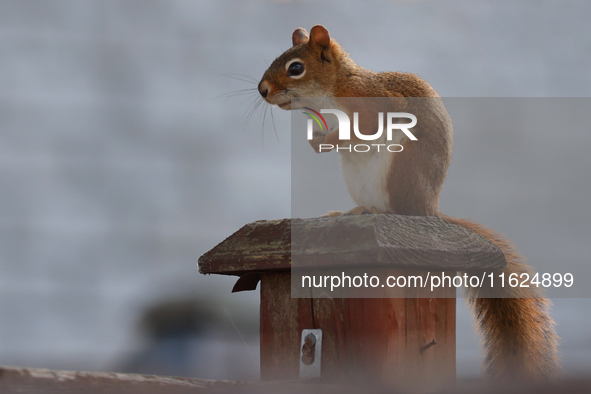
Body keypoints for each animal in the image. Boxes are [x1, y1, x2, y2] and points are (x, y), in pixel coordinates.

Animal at [258, 23, 560, 378]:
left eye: (296, 68)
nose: (262, 90)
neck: (334, 88)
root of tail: (429, 208)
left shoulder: (372, 105)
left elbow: (363, 128)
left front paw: (331, 138)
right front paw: (317, 142)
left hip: (399, 164)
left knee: (399, 209)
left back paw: (376, 210)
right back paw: (350, 211)